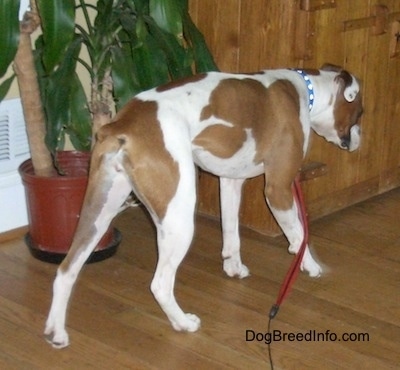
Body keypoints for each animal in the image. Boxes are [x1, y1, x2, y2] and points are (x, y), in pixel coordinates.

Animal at [43, 64, 362, 346]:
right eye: (360, 113)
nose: (360, 139)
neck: (305, 90)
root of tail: (121, 124)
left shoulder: (230, 181)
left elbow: (232, 233)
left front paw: (233, 267)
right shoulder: (278, 189)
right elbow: (298, 231)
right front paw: (309, 263)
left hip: (98, 212)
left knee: (66, 270)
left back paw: (56, 332)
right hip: (178, 218)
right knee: (160, 284)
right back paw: (183, 323)